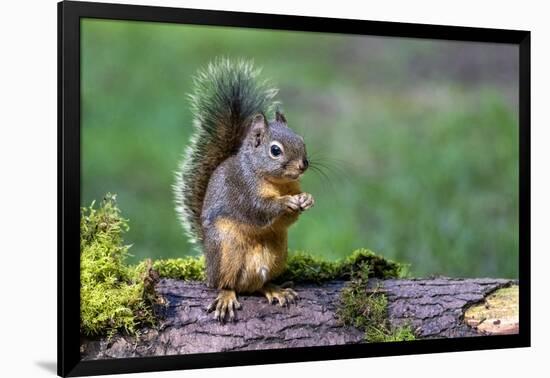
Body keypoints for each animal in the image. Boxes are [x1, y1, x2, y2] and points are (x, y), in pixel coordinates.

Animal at [177, 58, 314, 322]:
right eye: (275, 150)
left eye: (302, 140)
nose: (303, 165)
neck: (276, 182)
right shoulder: (243, 189)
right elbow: (259, 210)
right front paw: (285, 203)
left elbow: (286, 221)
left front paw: (306, 199)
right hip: (225, 252)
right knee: (226, 283)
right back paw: (226, 296)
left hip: (277, 255)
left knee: (259, 284)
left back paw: (275, 289)